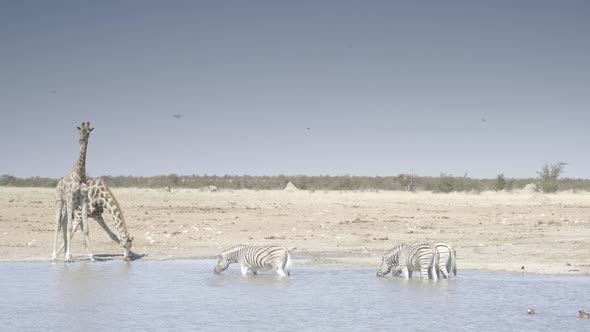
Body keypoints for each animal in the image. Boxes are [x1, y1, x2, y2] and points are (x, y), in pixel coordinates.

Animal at [52, 122, 94, 262]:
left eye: (88, 132)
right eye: (79, 131)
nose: (81, 140)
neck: (80, 175)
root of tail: (58, 184)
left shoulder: (83, 200)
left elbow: (85, 228)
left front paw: (91, 255)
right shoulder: (70, 198)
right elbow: (70, 227)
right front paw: (66, 256)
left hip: (70, 204)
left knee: (64, 222)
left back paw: (67, 254)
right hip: (60, 201)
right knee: (57, 224)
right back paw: (54, 255)